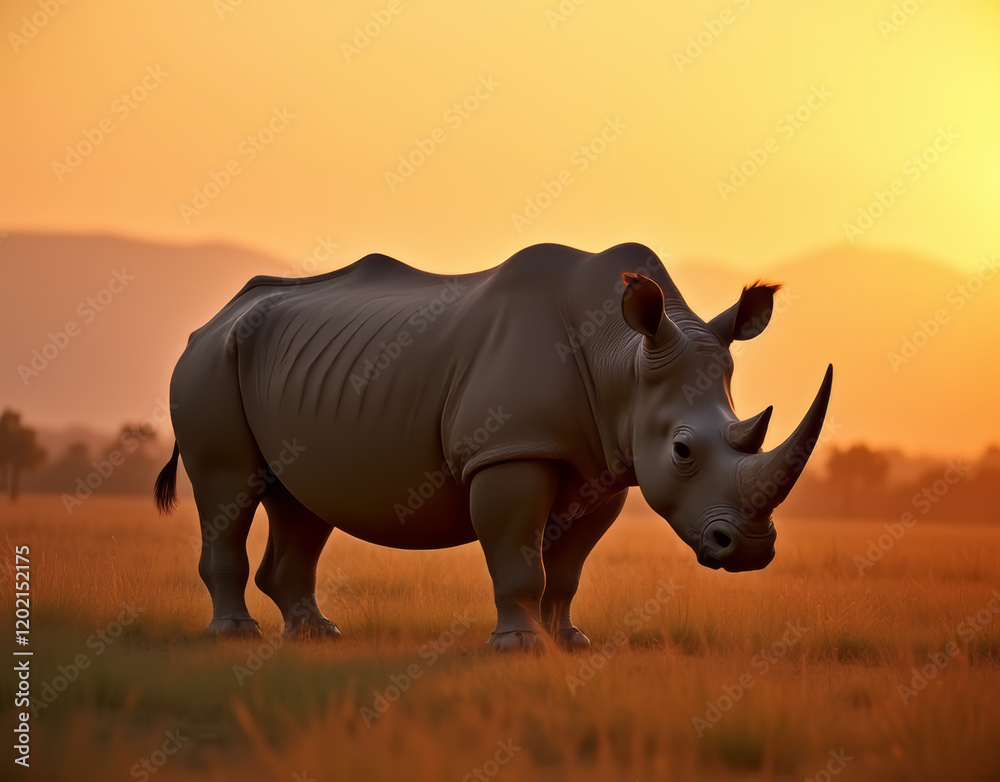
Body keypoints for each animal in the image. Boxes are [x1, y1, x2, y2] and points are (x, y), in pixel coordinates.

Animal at [155, 242, 832, 650]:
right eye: (683, 452)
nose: (750, 551)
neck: (622, 358)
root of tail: (213, 320)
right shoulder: (510, 447)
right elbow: (516, 552)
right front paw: (520, 647)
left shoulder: (604, 467)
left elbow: (568, 567)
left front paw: (569, 642)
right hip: (210, 365)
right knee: (227, 485)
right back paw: (234, 636)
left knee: (302, 501)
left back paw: (319, 635)